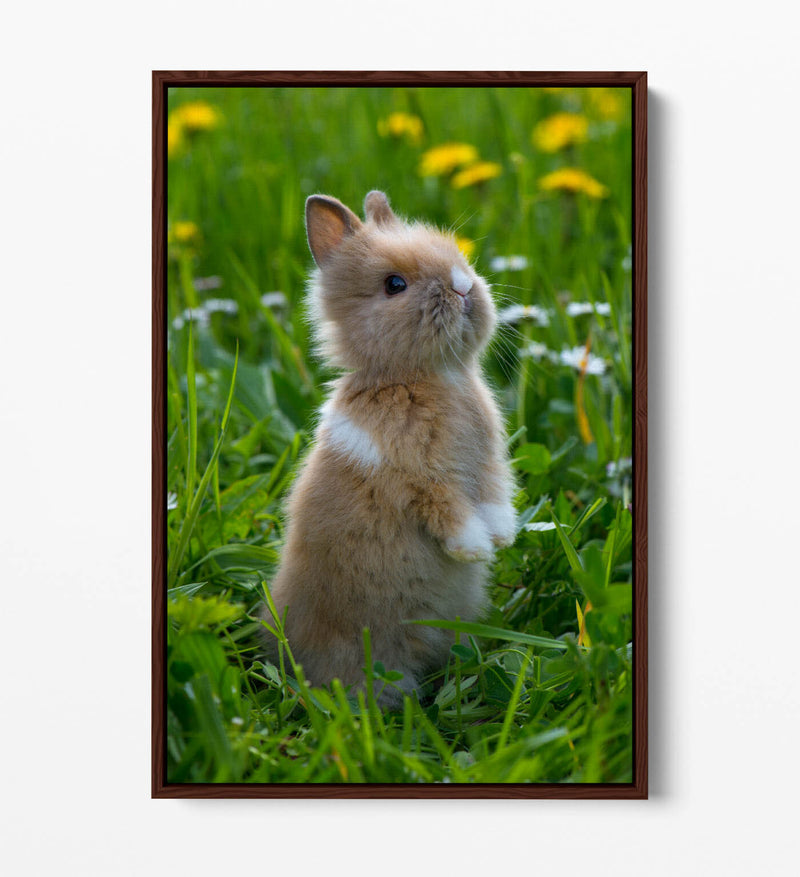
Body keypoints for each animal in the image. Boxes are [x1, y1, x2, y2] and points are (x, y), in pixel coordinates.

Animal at [261, 190, 516, 708]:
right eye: (394, 285)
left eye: (459, 258)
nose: (463, 286)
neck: (428, 376)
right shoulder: (417, 476)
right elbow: (449, 509)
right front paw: (475, 549)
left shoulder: (487, 464)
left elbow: (494, 493)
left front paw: (502, 538)